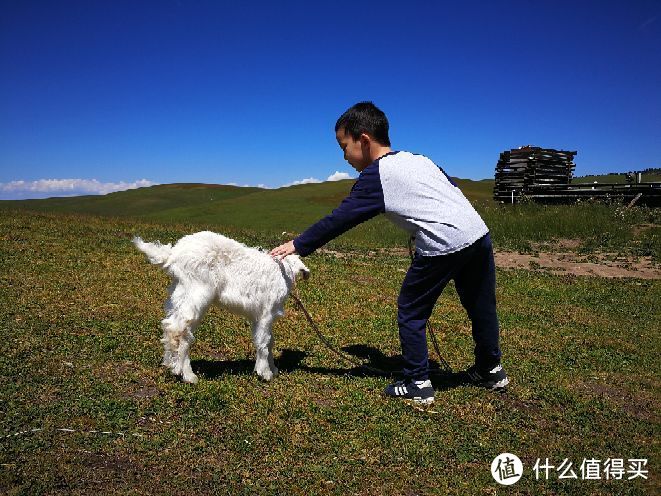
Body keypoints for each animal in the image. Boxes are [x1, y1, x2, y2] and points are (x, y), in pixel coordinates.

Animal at [134, 232, 312, 384]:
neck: (284, 270)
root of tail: (173, 255)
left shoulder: (258, 317)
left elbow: (268, 341)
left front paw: (272, 369)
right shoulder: (266, 313)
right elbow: (265, 341)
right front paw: (265, 373)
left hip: (179, 292)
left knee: (171, 326)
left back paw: (171, 364)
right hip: (197, 292)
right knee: (181, 330)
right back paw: (187, 375)